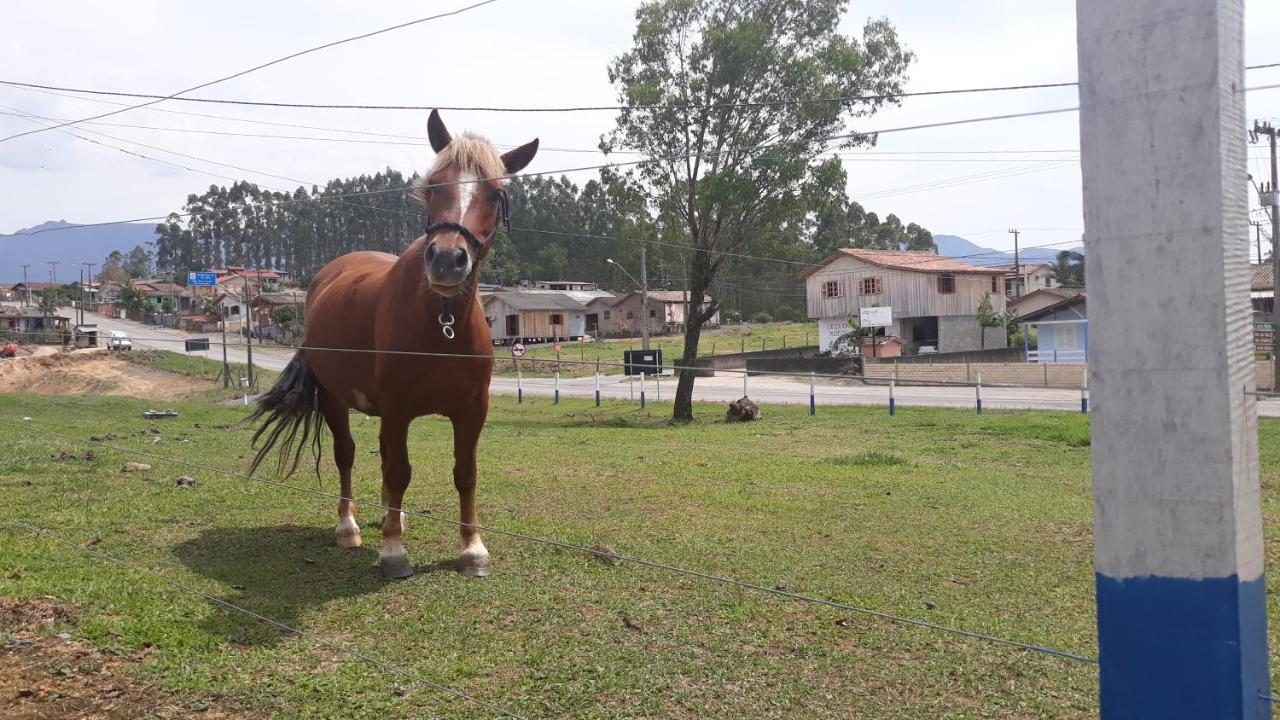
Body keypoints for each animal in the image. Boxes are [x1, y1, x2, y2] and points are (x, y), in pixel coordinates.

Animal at [247, 107, 537, 576]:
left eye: (495, 194)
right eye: (434, 184)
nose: (447, 259)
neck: (442, 325)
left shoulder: (472, 411)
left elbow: (465, 473)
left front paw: (472, 548)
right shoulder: (399, 409)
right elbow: (398, 471)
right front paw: (394, 551)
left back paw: (389, 516)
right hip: (334, 398)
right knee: (346, 454)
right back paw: (349, 527)